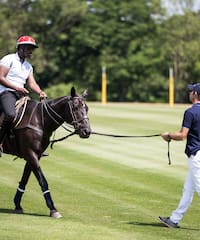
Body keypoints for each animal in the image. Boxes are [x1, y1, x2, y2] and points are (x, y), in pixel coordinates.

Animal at [0, 86, 90, 218]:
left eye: (87, 108)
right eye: (75, 107)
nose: (87, 131)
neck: (41, 120)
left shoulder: (34, 155)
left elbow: (25, 179)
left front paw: (17, 204)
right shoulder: (30, 153)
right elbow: (43, 181)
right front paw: (53, 209)